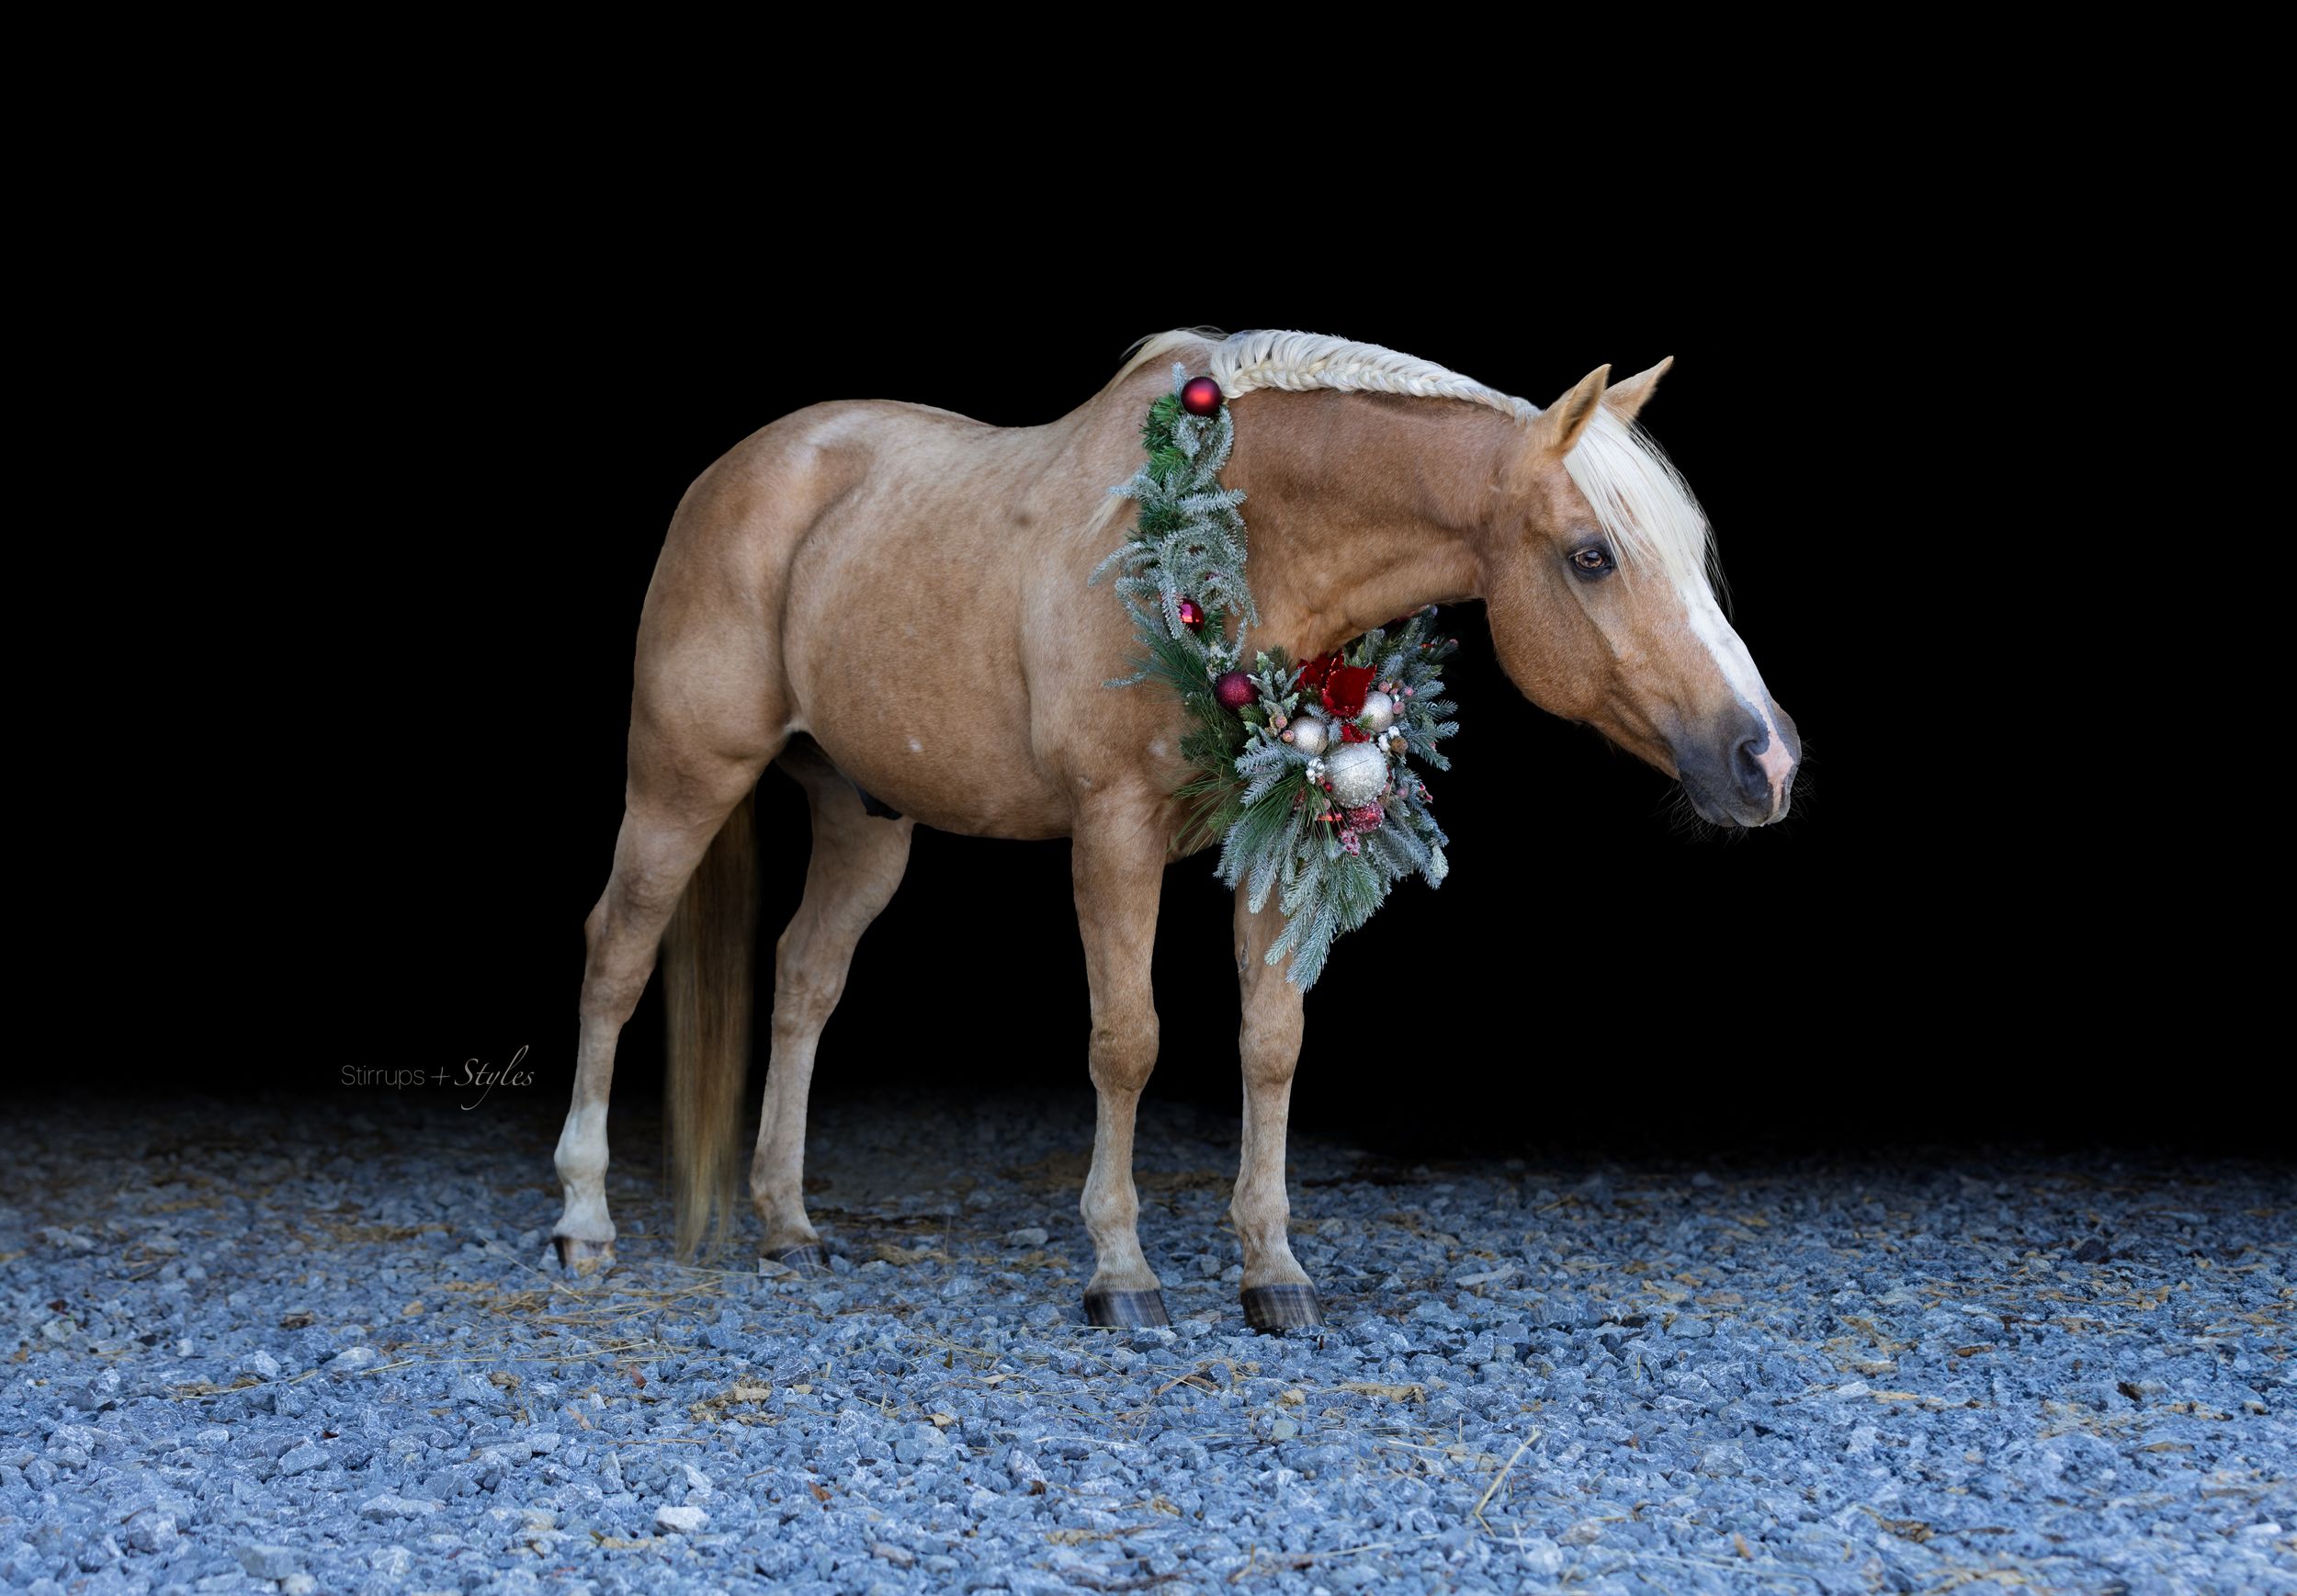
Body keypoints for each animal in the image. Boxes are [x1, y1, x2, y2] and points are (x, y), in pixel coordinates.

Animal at [549, 327, 1800, 1330]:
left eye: (1693, 554)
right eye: (1593, 556)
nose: (1767, 757)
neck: (1223, 532)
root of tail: (743, 468)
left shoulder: (1276, 830)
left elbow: (1272, 1044)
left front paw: (1273, 1272)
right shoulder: (1113, 833)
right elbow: (1127, 1041)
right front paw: (1121, 1272)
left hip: (867, 821)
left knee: (805, 978)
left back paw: (787, 1222)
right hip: (680, 783)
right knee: (616, 956)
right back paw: (584, 1221)